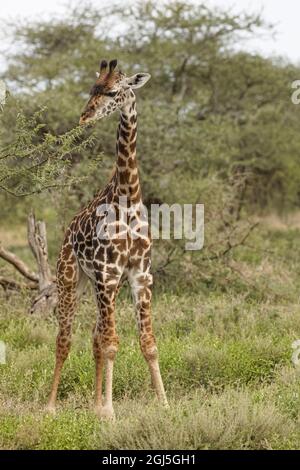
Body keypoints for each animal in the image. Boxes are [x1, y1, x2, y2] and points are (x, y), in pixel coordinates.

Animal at [47, 57, 169, 418]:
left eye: (113, 92)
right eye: (92, 89)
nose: (85, 115)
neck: (128, 196)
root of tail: (68, 232)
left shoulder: (139, 274)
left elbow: (148, 343)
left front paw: (164, 403)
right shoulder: (108, 273)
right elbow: (113, 344)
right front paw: (111, 412)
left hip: (98, 285)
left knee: (94, 336)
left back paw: (94, 401)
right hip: (71, 278)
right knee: (66, 339)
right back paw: (50, 406)